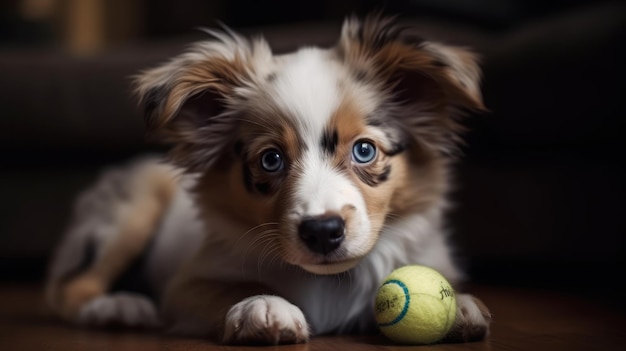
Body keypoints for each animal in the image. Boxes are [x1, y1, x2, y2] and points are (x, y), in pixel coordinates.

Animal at [46, 15, 490, 346]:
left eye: (364, 150)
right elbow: (230, 288)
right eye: (271, 159)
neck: (330, 281)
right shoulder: (186, 286)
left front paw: (459, 304)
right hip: (134, 205)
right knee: (69, 287)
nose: (323, 231)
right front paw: (262, 305)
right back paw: (119, 307)